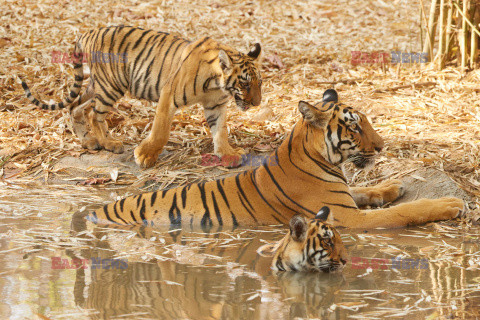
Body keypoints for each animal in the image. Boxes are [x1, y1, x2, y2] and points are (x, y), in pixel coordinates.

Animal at [21, 25, 262, 168]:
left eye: (259, 83)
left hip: (98, 85)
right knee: (94, 116)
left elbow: (220, 131)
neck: (216, 85)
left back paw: (89, 142)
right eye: (245, 83)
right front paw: (145, 156)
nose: (257, 103)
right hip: (111, 85)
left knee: (75, 107)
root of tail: (87, 33)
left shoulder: (215, 106)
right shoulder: (169, 94)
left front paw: (228, 154)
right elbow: (161, 131)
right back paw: (109, 143)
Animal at [86, 89, 464, 230]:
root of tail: (92, 212)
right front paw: (450, 204)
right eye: (355, 127)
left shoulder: (343, 196)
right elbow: (406, 211)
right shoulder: (346, 216)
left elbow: (367, 191)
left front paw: (393, 185)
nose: (383, 146)